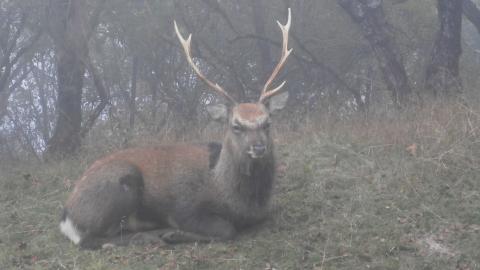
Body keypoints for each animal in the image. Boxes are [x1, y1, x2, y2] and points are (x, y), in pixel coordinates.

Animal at [60, 7, 292, 249]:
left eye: (267, 122)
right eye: (236, 125)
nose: (259, 148)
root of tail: (67, 217)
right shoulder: (184, 208)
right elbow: (226, 229)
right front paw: (175, 234)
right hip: (122, 183)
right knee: (90, 239)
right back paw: (152, 235)